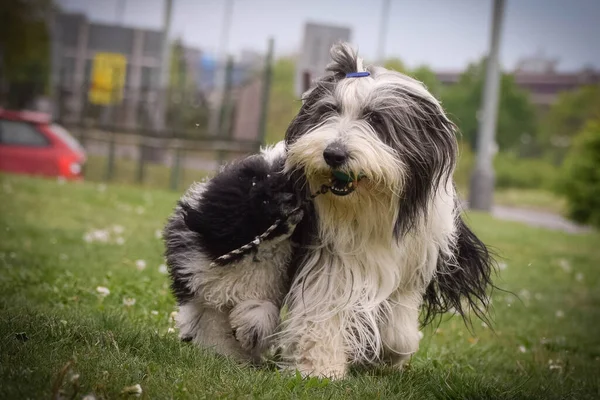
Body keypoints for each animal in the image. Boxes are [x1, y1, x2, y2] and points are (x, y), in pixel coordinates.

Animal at [163, 43, 492, 378]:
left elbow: (399, 325)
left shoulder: (413, 261)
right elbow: (324, 308)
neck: (372, 208)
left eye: (376, 119)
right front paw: (317, 370)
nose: (334, 154)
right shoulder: (331, 256)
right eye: (329, 111)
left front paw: (385, 354)